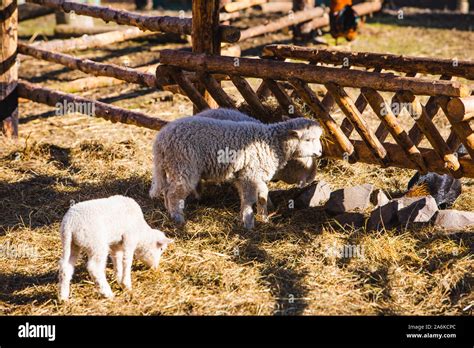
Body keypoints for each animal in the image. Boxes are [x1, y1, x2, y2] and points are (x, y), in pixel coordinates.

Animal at [150, 109, 324, 228]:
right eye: (308, 139)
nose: (320, 152)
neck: (272, 143)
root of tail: (160, 140)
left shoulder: (250, 176)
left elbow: (261, 196)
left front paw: (263, 218)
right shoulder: (250, 175)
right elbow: (249, 199)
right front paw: (248, 222)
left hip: (173, 167)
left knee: (167, 190)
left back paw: (170, 212)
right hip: (184, 166)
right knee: (173, 193)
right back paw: (178, 218)